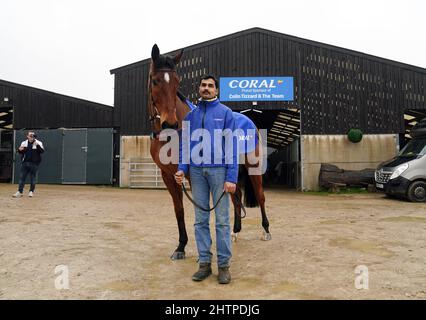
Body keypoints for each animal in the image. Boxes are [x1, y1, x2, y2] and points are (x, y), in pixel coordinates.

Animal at [148, 44, 272, 260]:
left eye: (177, 82)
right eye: (155, 81)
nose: (169, 123)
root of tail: (249, 121)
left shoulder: (193, 175)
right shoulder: (168, 175)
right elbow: (179, 210)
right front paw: (181, 247)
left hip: (253, 166)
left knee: (260, 195)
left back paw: (265, 231)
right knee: (235, 197)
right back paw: (234, 232)